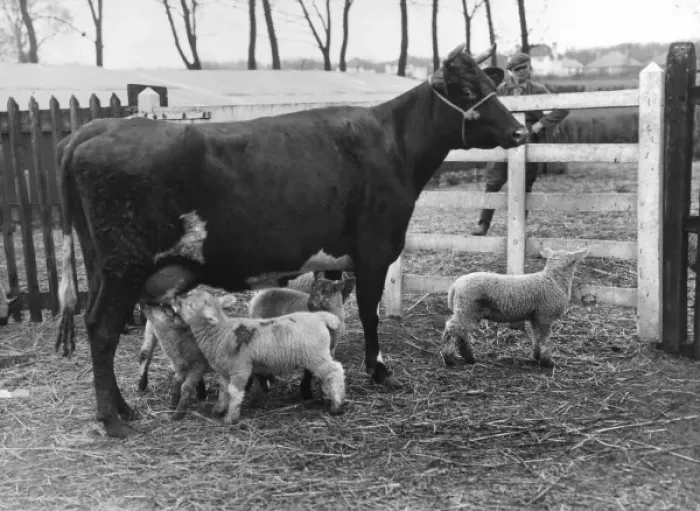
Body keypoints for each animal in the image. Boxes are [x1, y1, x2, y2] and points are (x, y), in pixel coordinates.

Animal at [171, 289, 346, 423]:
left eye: (190, 306)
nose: (176, 300)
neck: (221, 332)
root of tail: (321, 317)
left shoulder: (240, 369)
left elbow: (234, 392)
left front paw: (231, 418)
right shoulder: (224, 371)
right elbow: (223, 391)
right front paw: (219, 409)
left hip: (315, 355)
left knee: (335, 371)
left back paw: (336, 404)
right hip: (318, 355)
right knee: (329, 374)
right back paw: (328, 396)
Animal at [441, 245, 590, 368]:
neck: (553, 279)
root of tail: (455, 286)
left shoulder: (536, 317)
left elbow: (536, 337)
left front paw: (536, 356)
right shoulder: (545, 316)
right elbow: (544, 339)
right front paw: (547, 362)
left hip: (467, 311)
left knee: (461, 333)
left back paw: (469, 358)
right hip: (467, 309)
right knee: (452, 329)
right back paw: (449, 358)